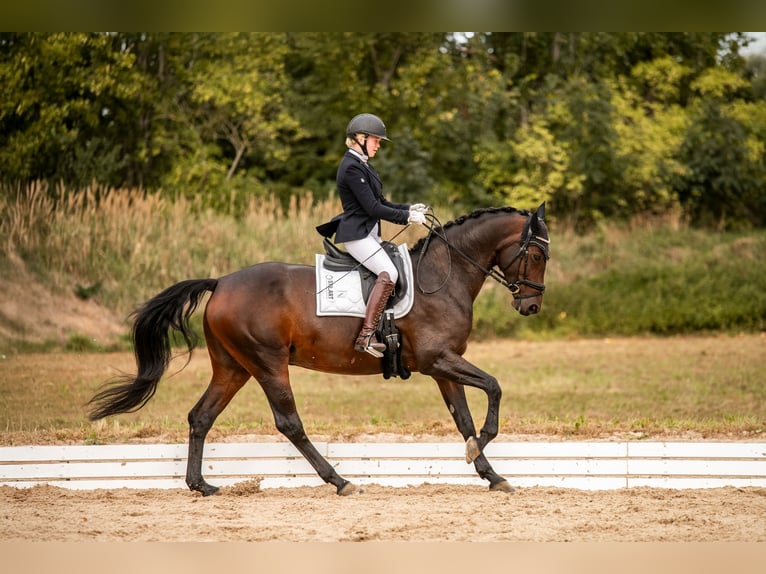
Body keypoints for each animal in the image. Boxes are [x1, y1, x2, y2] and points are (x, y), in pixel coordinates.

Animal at [88, 204, 550, 496]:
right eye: (537, 253)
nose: (531, 306)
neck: (443, 275)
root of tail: (220, 283)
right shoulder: (439, 360)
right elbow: (494, 388)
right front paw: (482, 451)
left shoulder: (441, 366)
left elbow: (464, 419)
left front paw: (492, 475)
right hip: (268, 364)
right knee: (290, 423)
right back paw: (340, 481)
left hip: (233, 367)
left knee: (201, 417)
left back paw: (200, 485)